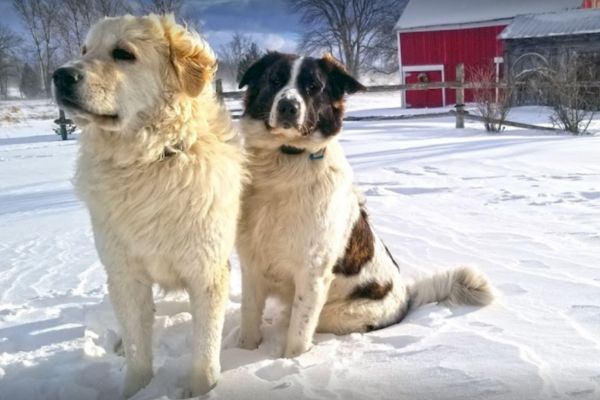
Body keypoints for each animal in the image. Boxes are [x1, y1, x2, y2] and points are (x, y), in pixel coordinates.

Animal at [52, 14, 245, 396]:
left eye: (123, 54)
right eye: (85, 50)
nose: (60, 75)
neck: (151, 160)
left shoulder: (207, 272)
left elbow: (205, 349)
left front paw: (202, 390)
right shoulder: (124, 274)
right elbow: (138, 348)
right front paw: (136, 390)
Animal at [234, 52, 492, 356]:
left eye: (314, 87)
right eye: (275, 79)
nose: (288, 106)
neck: (285, 161)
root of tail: (406, 297)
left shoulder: (312, 274)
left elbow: (297, 338)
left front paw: (289, 362)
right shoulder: (252, 265)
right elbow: (249, 322)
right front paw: (242, 355)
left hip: (333, 313)